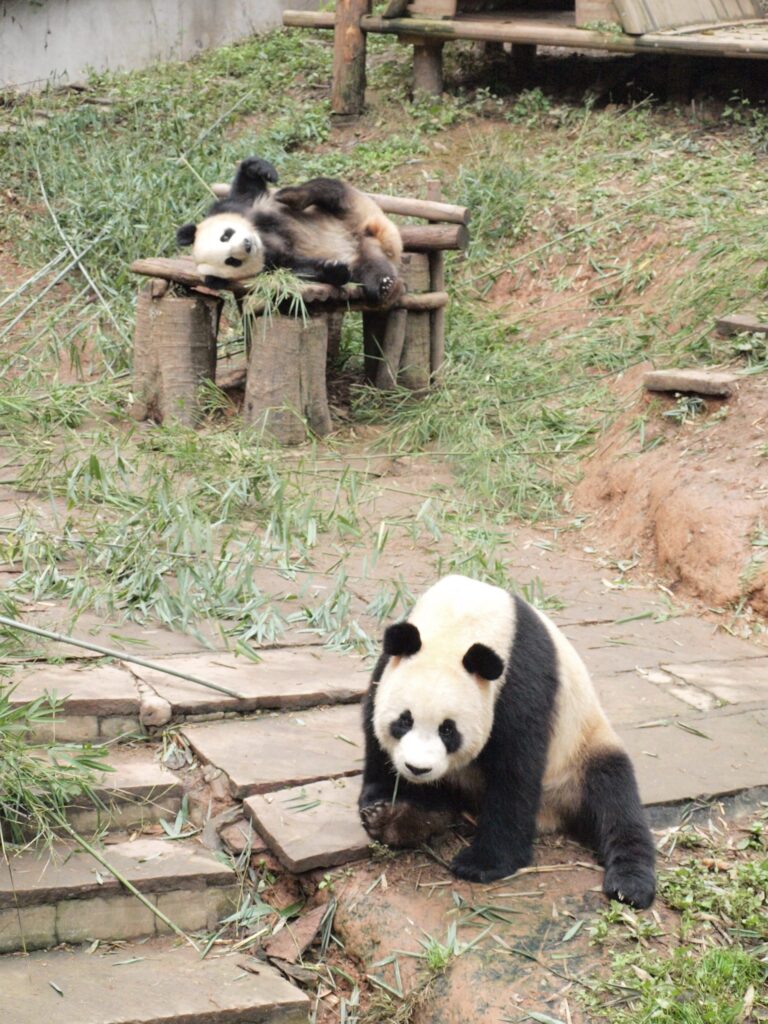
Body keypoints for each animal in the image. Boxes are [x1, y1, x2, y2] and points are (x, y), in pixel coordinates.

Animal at [176, 156, 403, 304]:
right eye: (231, 261)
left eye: (225, 235)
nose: (247, 245)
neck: (263, 239)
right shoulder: (272, 265)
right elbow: (300, 268)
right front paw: (334, 269)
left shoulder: (237, 208)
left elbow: (244, 192)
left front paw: (261, 169)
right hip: (367, 252)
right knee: (371, 270)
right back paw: (382, 284)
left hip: (355, 206)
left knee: (328, 190)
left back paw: (291, 196)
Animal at [359, 574, 656, 909]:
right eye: (404, 721)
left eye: (448, 730)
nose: (417, 769)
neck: (459, 622)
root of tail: (552, 814)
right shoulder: (389, 665)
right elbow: (373, 729)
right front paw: (381, 806)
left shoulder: (521, 681)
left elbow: (515, 771)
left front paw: (482, 863)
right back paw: (402, 822)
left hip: (582, 748)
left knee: (615, 798)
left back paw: (629, 884)